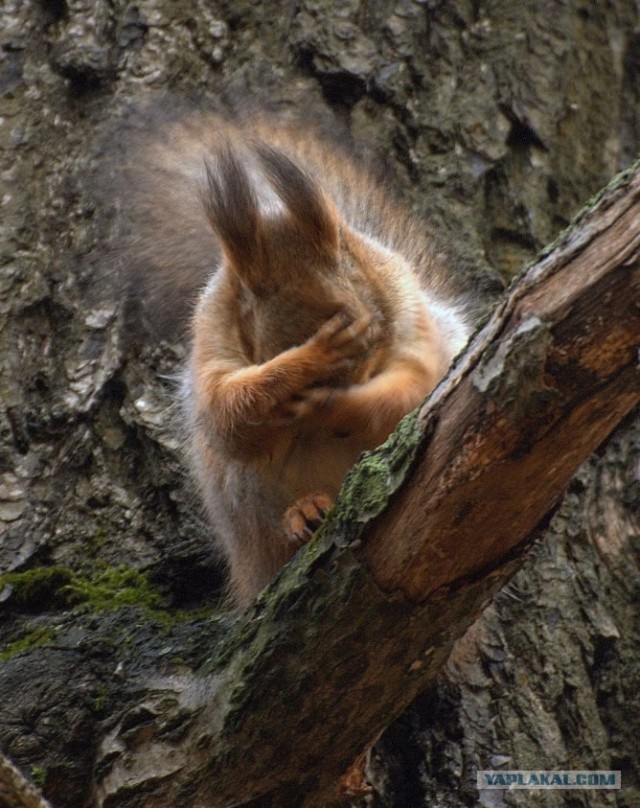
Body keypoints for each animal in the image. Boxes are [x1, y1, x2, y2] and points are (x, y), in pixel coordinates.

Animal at [108, 107, 475, 608]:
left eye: (373, 327)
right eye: (267, 345)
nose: (336, 383)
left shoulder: (411, 318)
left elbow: (409, 392)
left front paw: (334, 405)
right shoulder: (210, 339)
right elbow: (229, 415)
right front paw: (311, 361)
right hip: (245, 499)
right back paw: (304, 512)